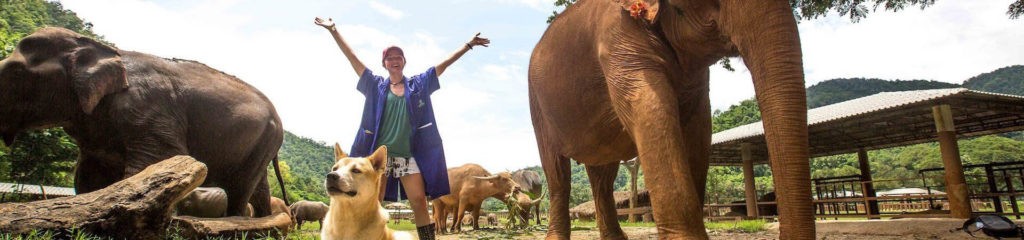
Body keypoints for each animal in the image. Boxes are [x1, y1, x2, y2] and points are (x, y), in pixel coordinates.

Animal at [0, 27, 288, 216]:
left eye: (16, 72)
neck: (106, 50)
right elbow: (89, 175)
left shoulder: (148, 110)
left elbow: (162, 158)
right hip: (262, 143)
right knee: (258, 187)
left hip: (265, 140)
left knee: (239, 187)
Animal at [532, 0, 811, 238]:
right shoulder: (619, 41)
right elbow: (651, 111)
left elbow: (699, 126)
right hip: (538, 109)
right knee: (558, 175)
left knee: (602, 176)